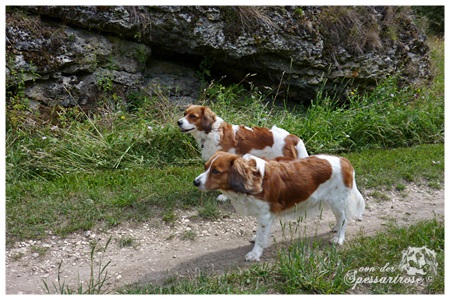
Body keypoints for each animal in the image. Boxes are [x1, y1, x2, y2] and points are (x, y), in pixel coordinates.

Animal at [193, 151, 366, 262]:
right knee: (339, 218)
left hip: (336, 201)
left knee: (343, 218)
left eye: (216, 171)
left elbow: (261, 236)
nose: (195, 182)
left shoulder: (265, 215)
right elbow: (261, 233)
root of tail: (344, 160)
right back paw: (336, 229)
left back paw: (339, 238)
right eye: (205, 167)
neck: (254, 179)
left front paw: (255, 253)